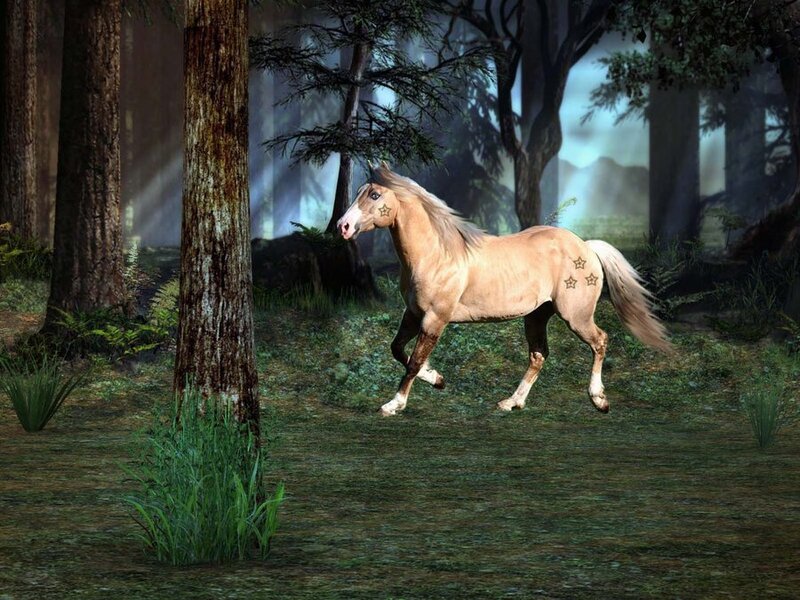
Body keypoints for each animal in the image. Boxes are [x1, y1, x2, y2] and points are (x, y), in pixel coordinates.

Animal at [337, 163, 673, 417]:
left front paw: (394, 405)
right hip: (536, 315)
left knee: (600, 341)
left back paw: (599, 400)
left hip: (575, 316)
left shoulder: (435, 319)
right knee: (538, 355)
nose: (343, 226)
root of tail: (586, 247)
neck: (436, 254)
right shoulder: (413, 313)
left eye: (375, 194)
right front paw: (438, 379)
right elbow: (398, 350)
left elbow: (414, 361)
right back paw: (511, 403)